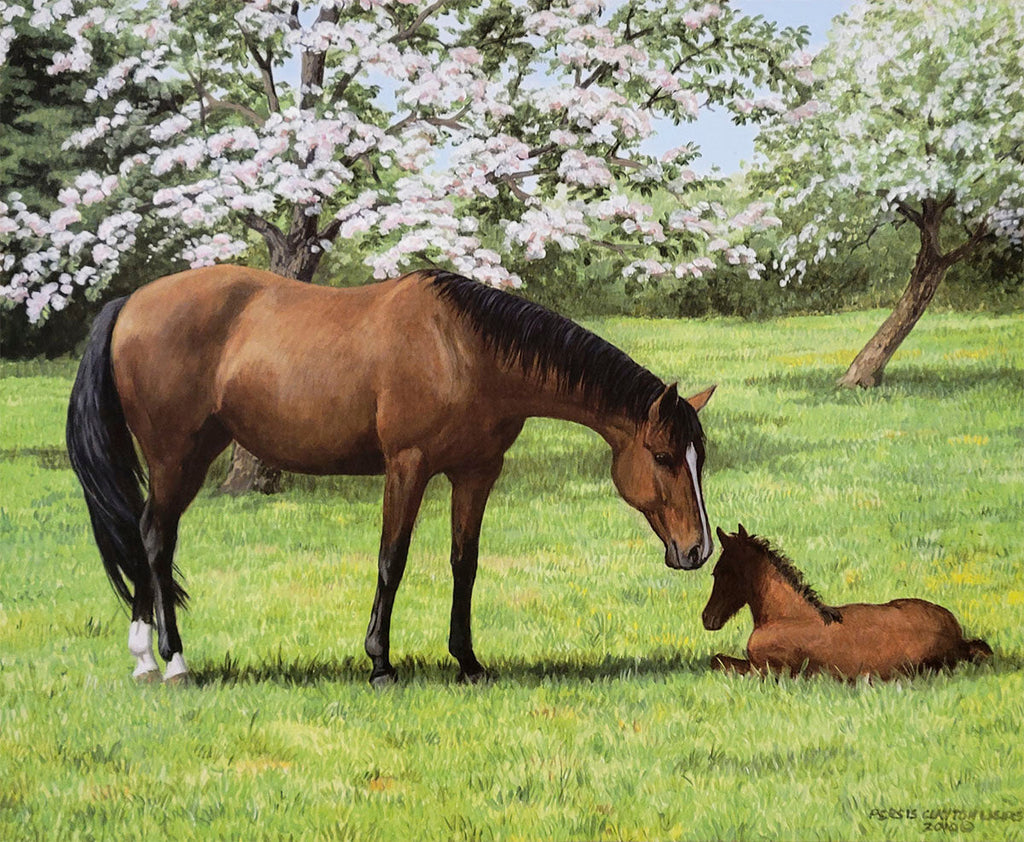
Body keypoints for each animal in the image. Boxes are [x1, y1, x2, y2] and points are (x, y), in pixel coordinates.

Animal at [66, 265, 716, 687]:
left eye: (699, 458)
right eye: (663, 456)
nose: (698, 551)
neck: (463, 348)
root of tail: (128, 304)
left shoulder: (476, 471)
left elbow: (464, 564)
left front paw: (468, 662)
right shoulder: (408, 465)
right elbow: (392, 560)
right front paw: (380, 662)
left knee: (145, 538)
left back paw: (144, 659)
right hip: (175, 458)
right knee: (155, 540)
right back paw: (172, 661)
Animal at [701, 525, 992, 680]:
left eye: (721, 572)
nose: (707, 618)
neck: (788, 616)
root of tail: (959, 638)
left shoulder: (766, 671)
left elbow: (718, 661)